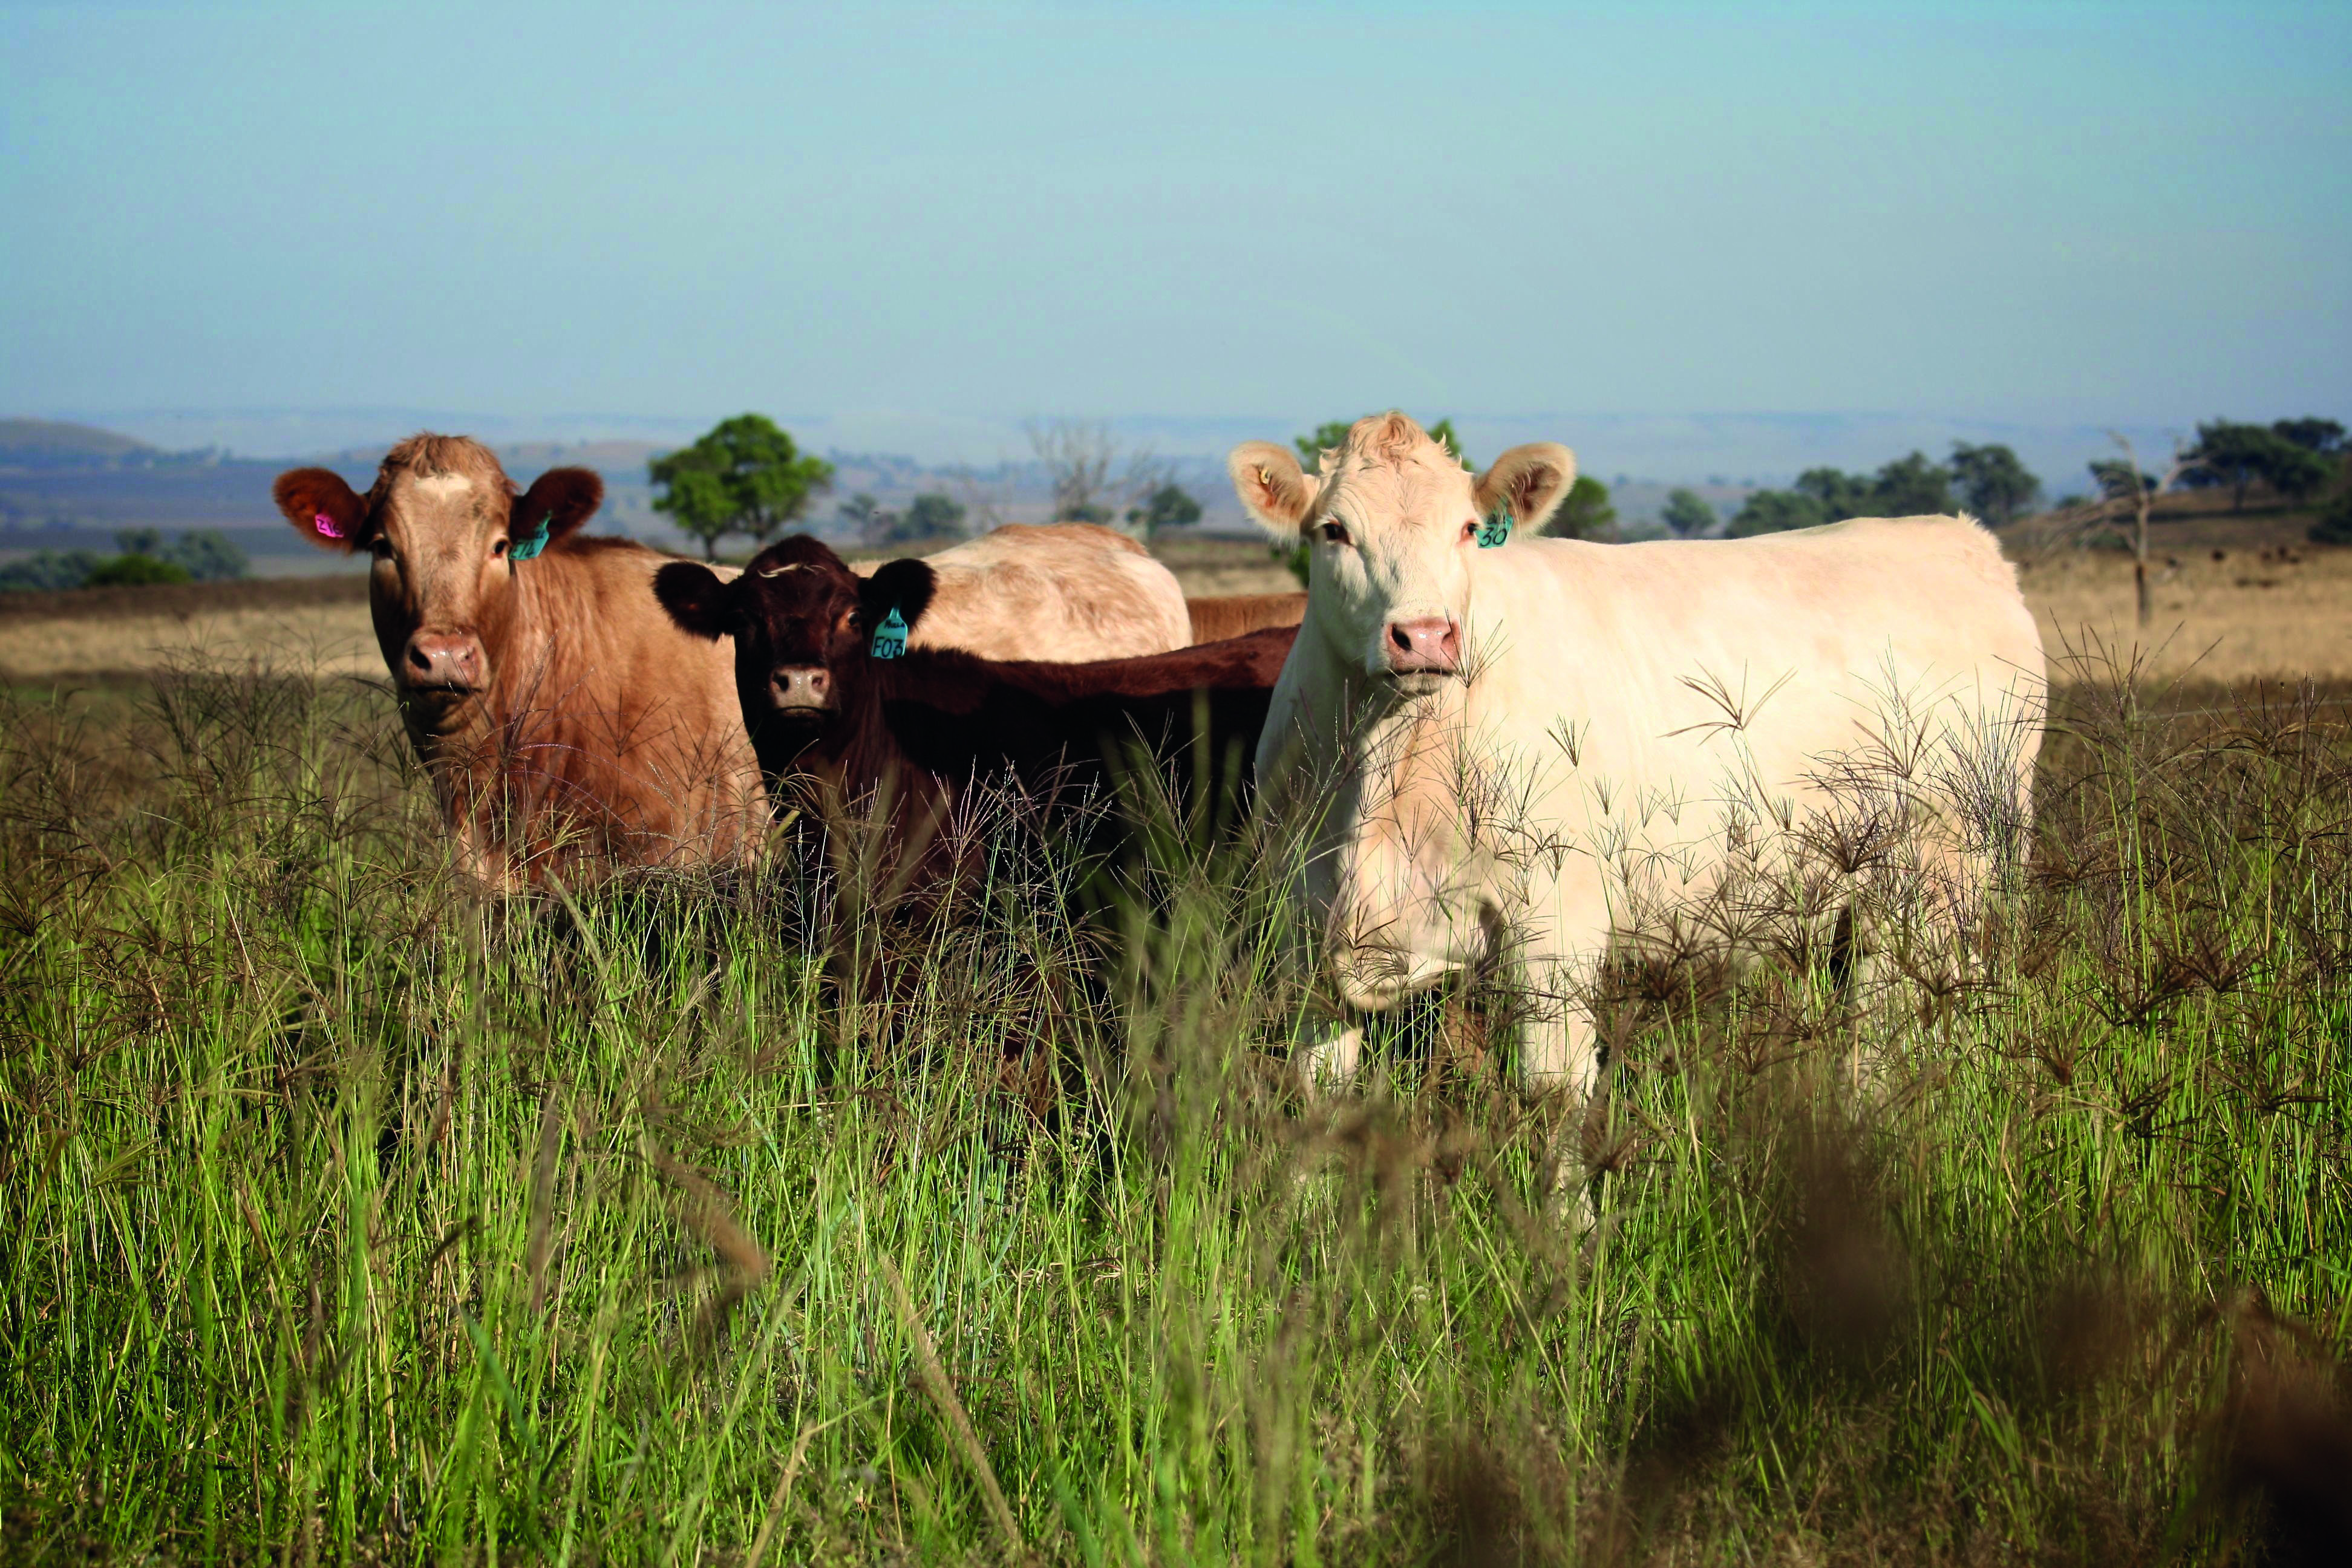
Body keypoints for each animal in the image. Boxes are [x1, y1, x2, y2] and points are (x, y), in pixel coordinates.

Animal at [1229, 412, 2046, 1105]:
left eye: (1467, 529)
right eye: (1333, 530)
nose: (1426, 635)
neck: (1390, 762)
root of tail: (1961, 538)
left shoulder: (1558, 921)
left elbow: (1553, 1095)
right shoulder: (1309, 933)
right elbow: (1318, 1091)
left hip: (1940, 877)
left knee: (1894, 1036)